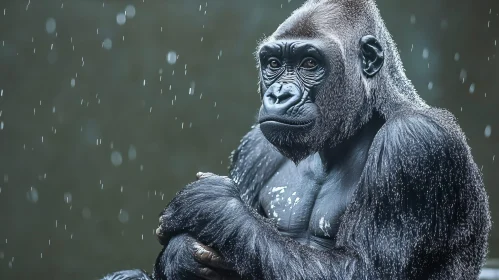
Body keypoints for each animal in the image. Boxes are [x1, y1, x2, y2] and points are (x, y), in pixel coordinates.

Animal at [103, 0, 490, 280]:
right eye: (274, 63)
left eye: (308, 63)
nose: (278, 95)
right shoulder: (254, 149)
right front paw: (181, 256)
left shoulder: (415, 144)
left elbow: (363, 270)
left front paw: (213, 207)